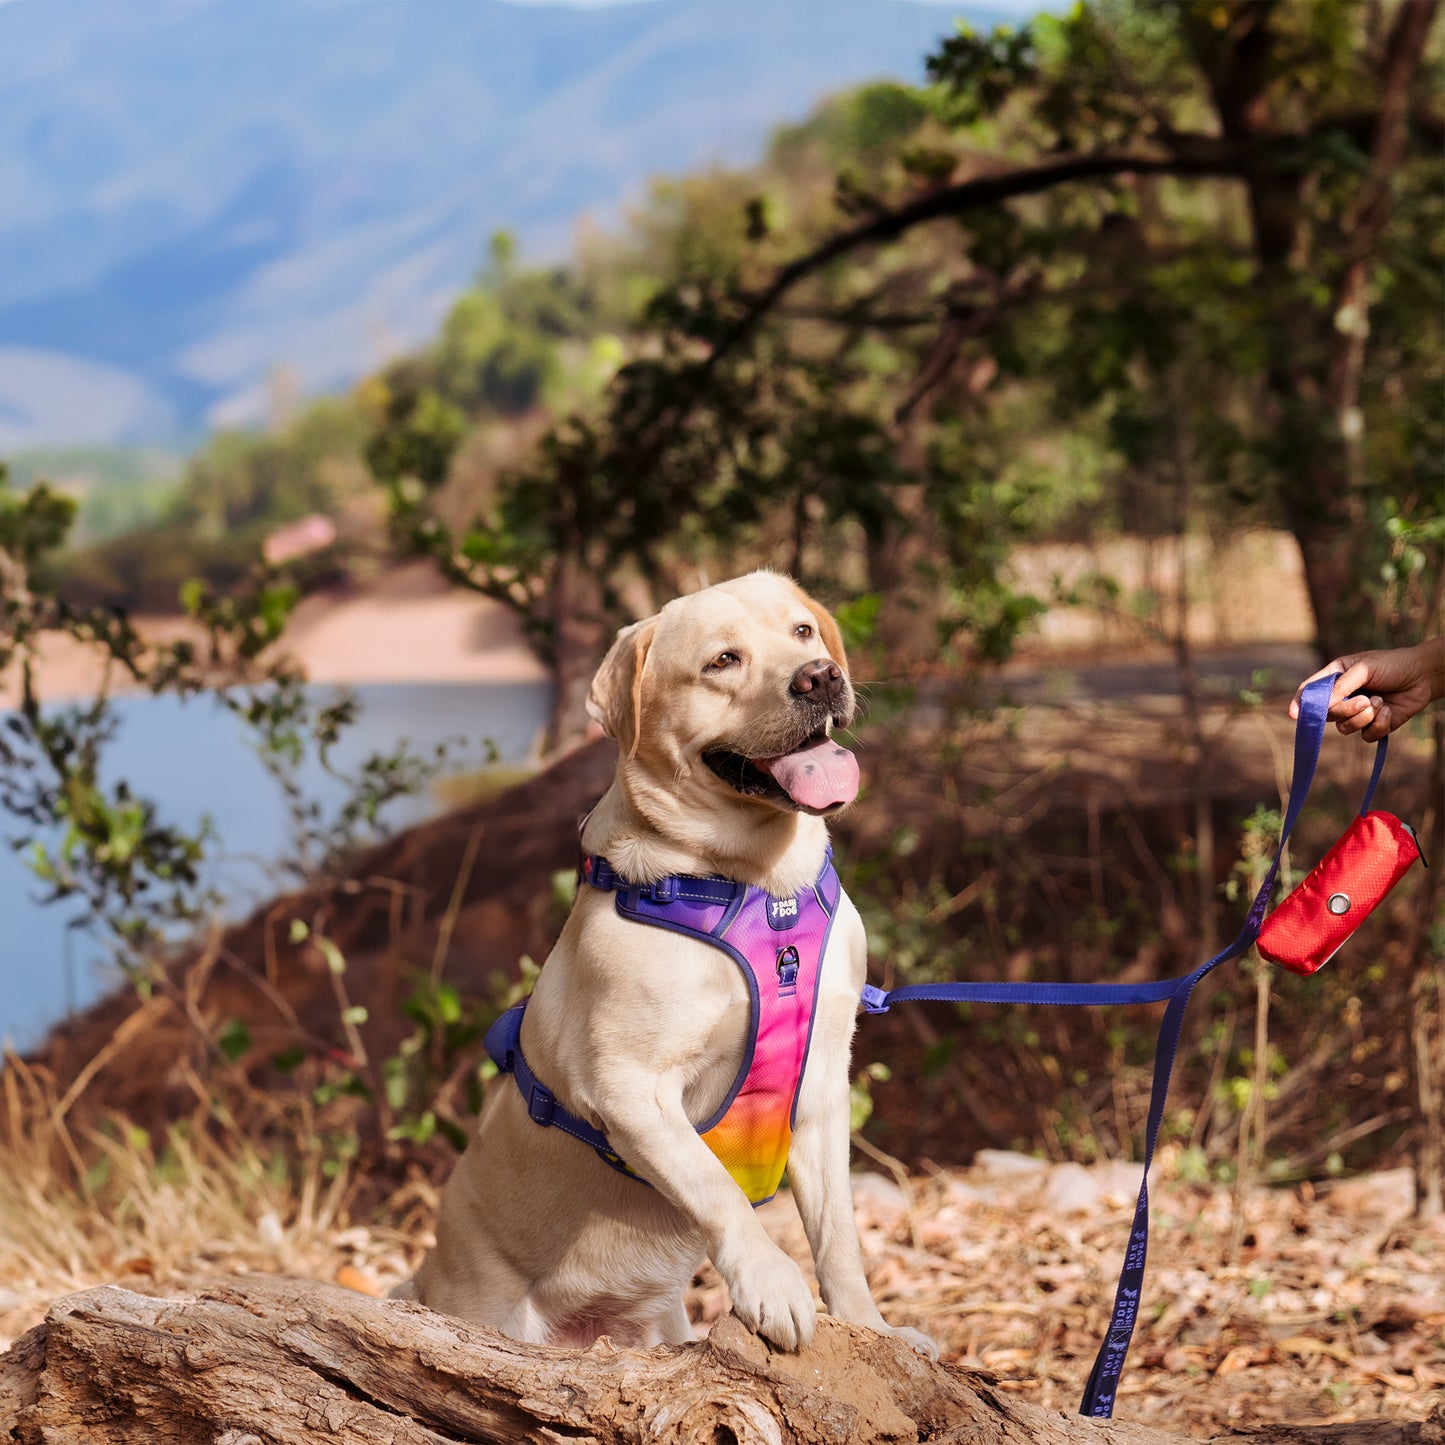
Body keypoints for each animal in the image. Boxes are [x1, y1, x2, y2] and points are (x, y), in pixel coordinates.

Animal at [407, 569, 936, 1358]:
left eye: (803, 631)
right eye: (723, 661)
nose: (820, 677)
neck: (759, 886)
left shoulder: (820, 1083)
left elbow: (838, 1235)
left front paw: (872, 1329)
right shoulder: (628, 1088)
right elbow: (715, 1186)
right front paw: (771, 1281)